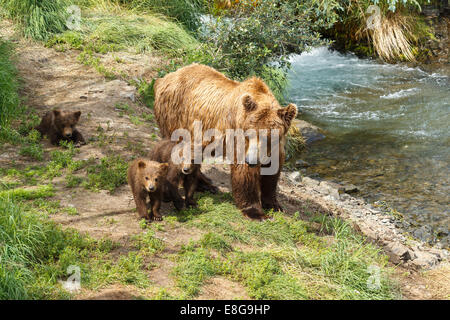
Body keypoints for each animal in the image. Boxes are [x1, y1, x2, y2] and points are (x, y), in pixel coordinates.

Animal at [153, 63, 298, 219]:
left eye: (268, 137)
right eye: (249, 133)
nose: (251, 160)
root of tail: (165, 77)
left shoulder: (276, 147)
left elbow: (272, 173)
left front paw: (274, 204)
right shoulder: (238, 135)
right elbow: (244, 173)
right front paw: (255, 212)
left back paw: (206, 184)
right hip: (177, 118)